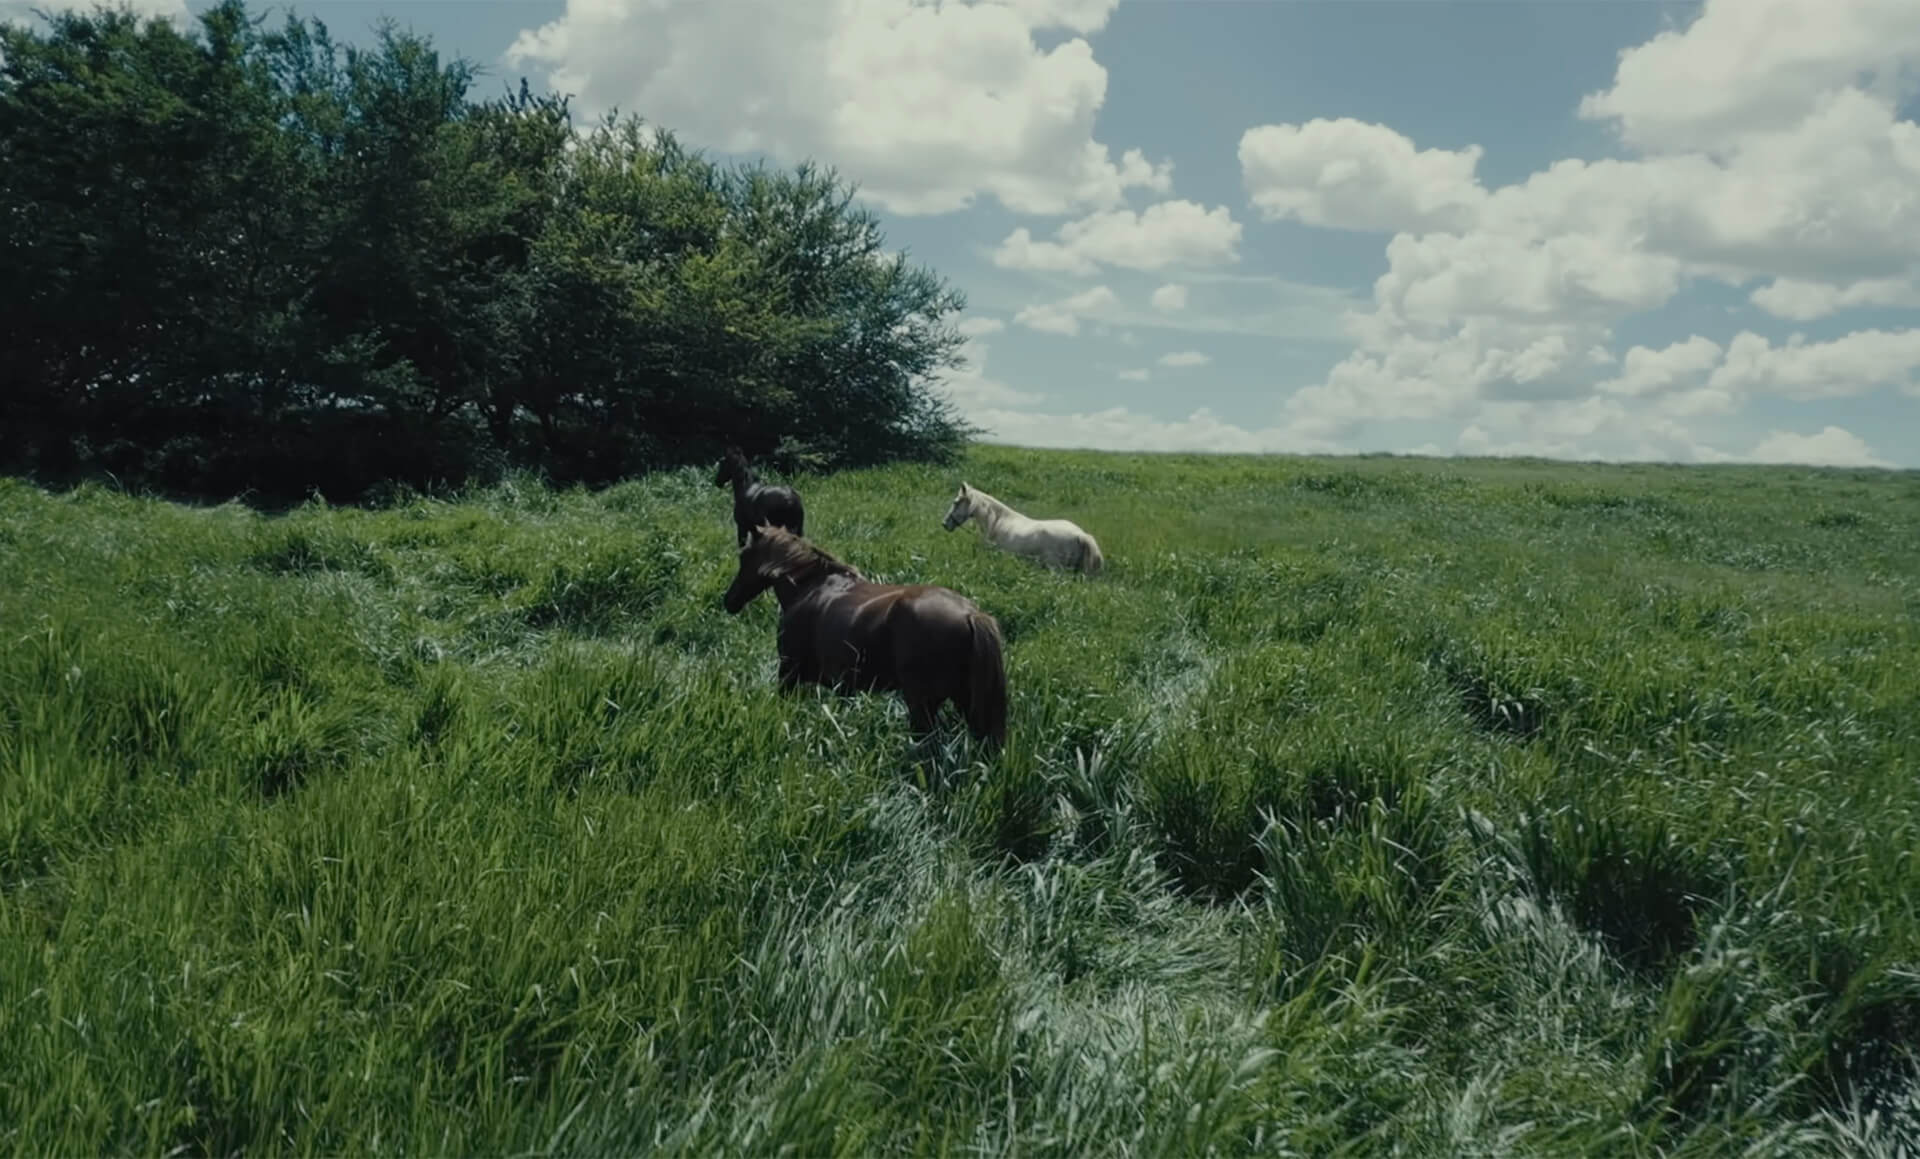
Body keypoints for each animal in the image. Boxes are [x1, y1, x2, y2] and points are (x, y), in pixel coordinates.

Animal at [722, 525, 1008, 750]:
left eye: (745, 555)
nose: (729, 601)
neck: (810, 588)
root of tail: (970, 614)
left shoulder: (789, 673)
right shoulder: (844, 687)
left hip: (922, 705)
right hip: (965, 702)